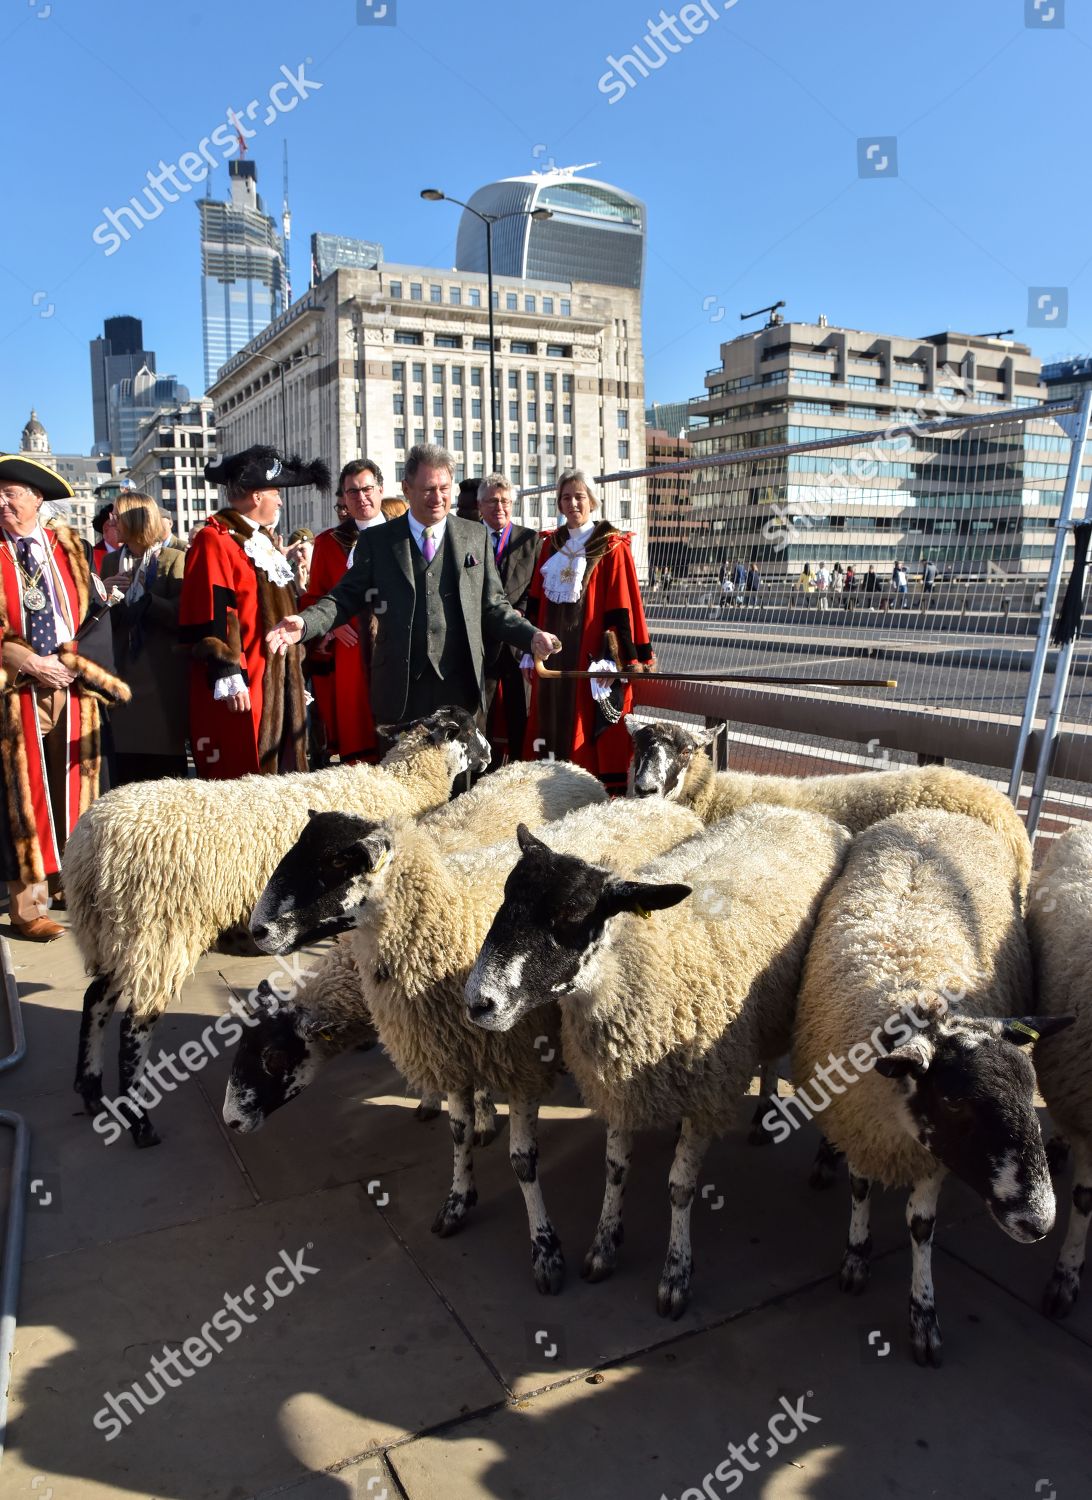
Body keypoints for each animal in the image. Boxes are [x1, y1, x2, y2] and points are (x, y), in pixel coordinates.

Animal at [792, 816, 1068, 1368]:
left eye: (1033, 1095)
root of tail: (934, 812)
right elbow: (860, 1190)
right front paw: (856, 1258)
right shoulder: (863, 1125)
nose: (1040, 1220)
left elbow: (921, 1228)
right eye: (955, 1101)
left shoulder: (928, 1154)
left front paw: (924, 1315)